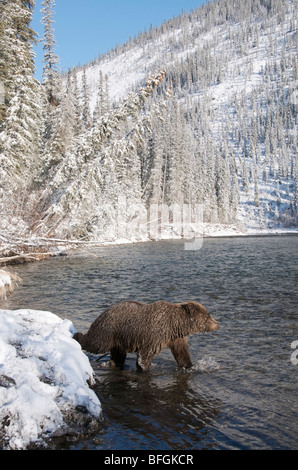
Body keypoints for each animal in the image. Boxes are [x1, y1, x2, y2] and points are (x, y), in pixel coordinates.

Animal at [74, 302, 219, 370]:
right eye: (208, 315)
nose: (217, 324)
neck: (175, 325)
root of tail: (103, 312)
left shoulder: (175, 338)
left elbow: (182, 353)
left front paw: (189, 365)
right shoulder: (155, 334)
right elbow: (146, 354)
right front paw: (143, 367)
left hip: (119, 339)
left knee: (118, 354)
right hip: (108, 330)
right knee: (95, 343)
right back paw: (76, 335)